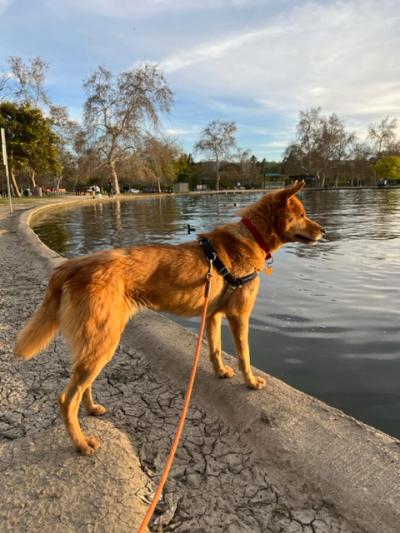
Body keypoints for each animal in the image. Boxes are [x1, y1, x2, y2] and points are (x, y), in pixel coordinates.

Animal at [14, 180, 324, 454]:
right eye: (302, 215)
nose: (323, 230)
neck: (251, 239)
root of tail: (71, 266)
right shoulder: (239, 316)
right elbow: (244, 355)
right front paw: (250, 383)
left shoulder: (212, 315)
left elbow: (215, 350)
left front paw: (221, 372)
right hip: (103, 343)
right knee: (66, 399)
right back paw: (81, 443)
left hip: (95, 343)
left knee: (82, 387)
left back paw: (91, 409)